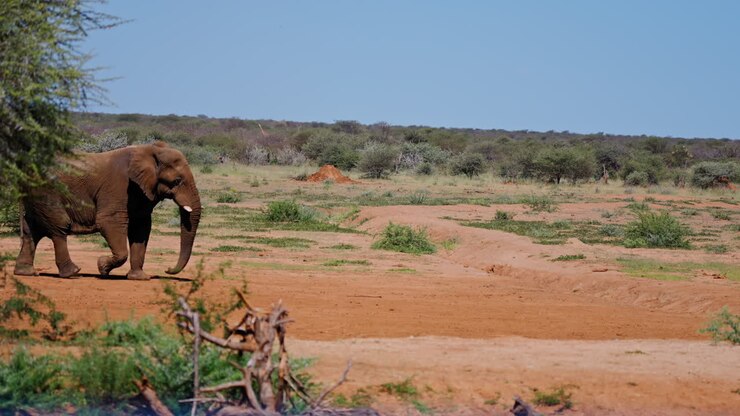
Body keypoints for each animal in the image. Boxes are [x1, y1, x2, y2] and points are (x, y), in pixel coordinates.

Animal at [13, 142, 201, 280]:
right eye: (177, 181)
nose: (167, 269)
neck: (150, 150)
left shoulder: (141, 194)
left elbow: (140, 228)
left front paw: (139, 277)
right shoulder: (119, 187)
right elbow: (109, 222)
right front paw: (102, 267)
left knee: (32, 232)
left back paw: (26, 273)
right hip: (47, 193)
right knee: (58, 228)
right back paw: (73, 273)